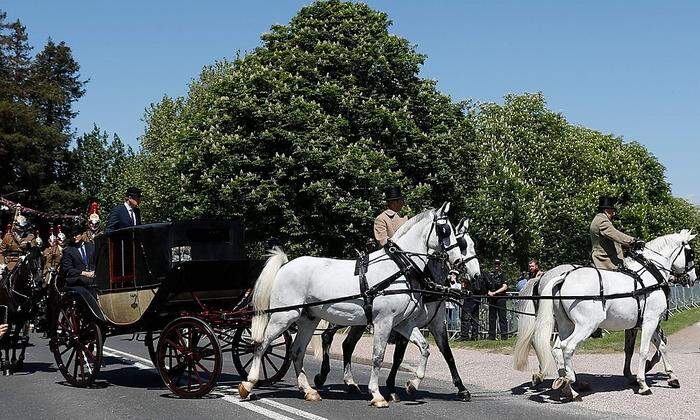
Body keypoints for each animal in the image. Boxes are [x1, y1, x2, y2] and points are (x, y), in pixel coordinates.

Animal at [239, 203, 464, 406]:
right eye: (445, 230)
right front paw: (377, 395)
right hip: (283, 316)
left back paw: (309, 390)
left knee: (297, 351)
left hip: (308, 319)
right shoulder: (384, 321)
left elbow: (425, 348)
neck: (398, 270)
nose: (459, 261)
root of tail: (285, 265)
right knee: (261, 345)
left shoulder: (402, 323)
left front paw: (412, 384)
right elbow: (378, 357)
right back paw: (248, 385)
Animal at [512, 231, 696, 402]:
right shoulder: (650, 321)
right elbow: (643, 350)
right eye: (690, 253)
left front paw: (671, 377)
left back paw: (568, 387)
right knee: (567, 347)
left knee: (557, 349)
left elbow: (660, 346)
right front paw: (643, 383)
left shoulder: (647, 323)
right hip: (586, 326)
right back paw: (568, 379)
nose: (692, 278)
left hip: (566, 325)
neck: (650, 277)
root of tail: (561, 278)